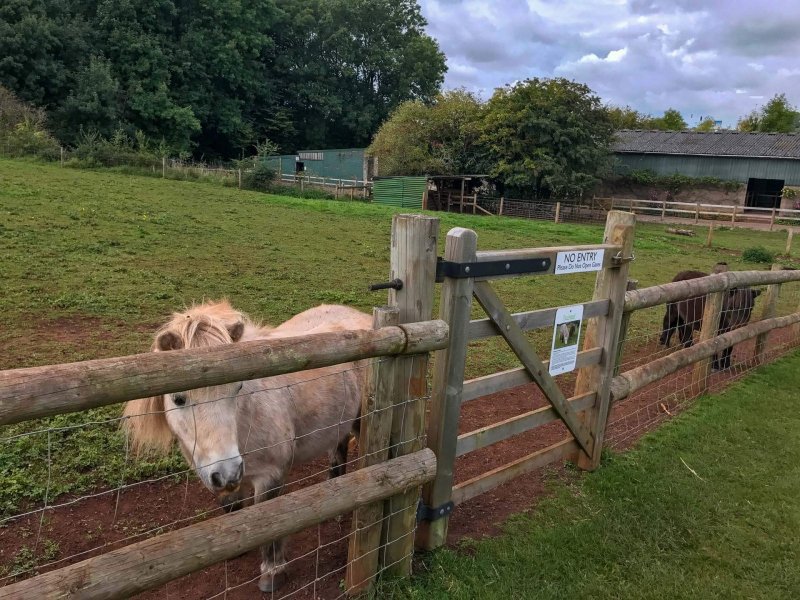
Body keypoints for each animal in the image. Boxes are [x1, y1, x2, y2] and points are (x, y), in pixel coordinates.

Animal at [123, 300, 372, 592]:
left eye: (237, 387)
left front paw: (273, 573)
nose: (228, 470)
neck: (246, 416)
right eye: (178, 398)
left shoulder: (270, 475)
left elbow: (270, 521)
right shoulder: (219, 475)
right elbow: (232, 507)